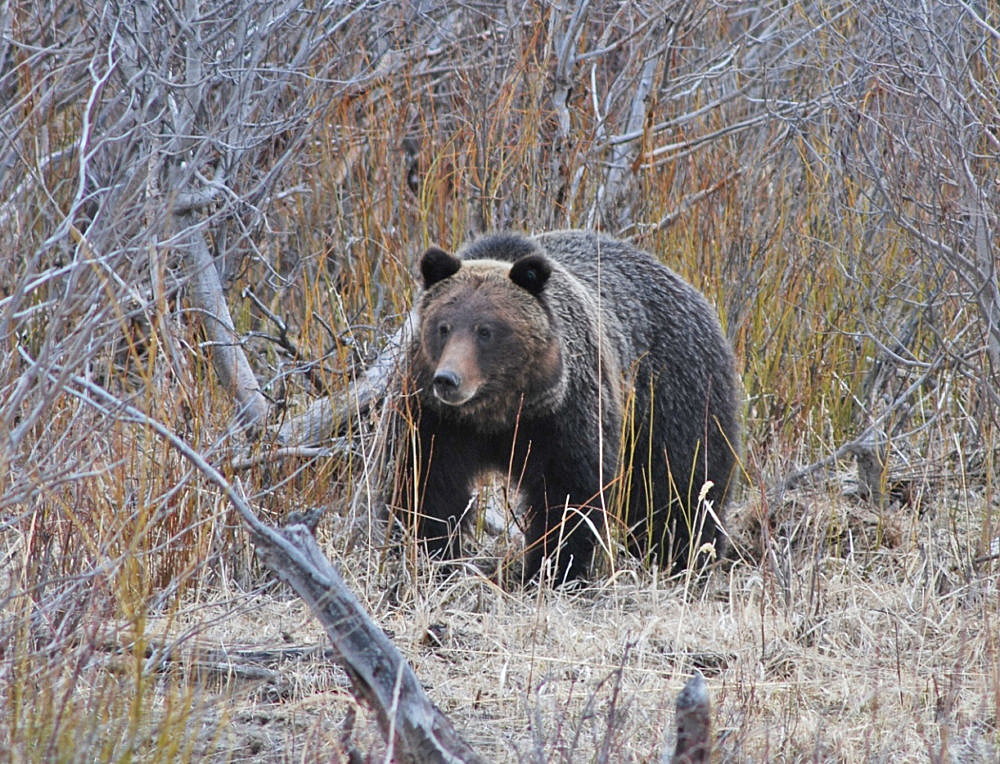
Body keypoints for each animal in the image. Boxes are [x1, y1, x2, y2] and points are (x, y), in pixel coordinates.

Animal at [394, 230, 740, 580]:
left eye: (486, 330)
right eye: (443, 327)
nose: (447, 379)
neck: (497, 412)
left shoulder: (564, 417)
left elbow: (568, 496)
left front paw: (554, 569)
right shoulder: (436, 421)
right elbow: (426, 487)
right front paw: (431, 557)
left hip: (673, 396)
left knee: (681, 487)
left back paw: (685, 559)